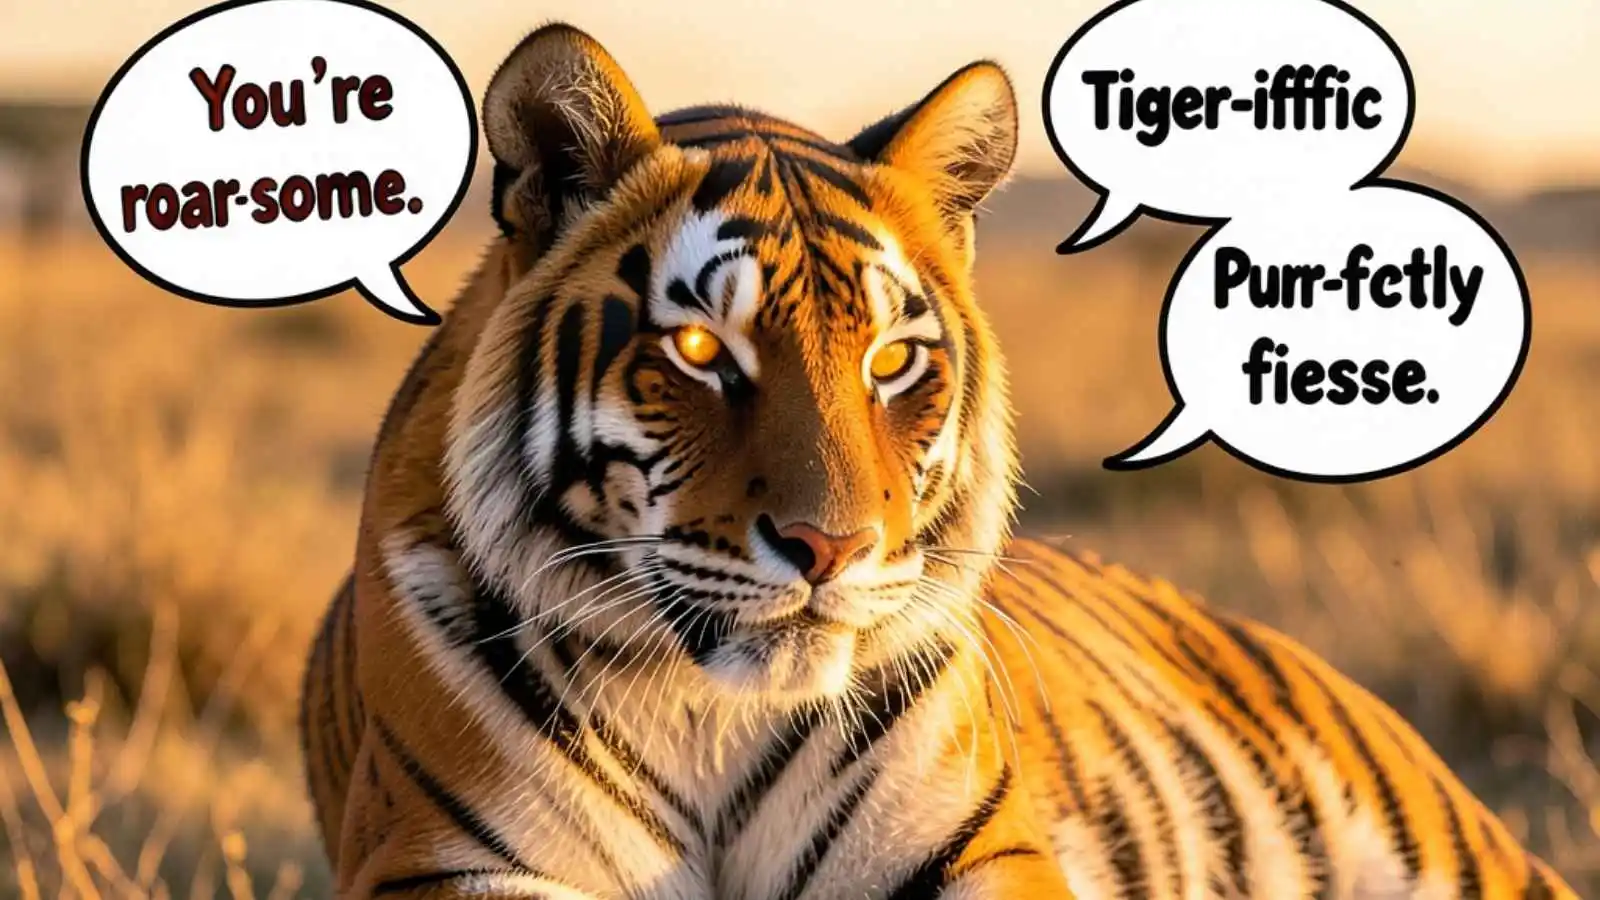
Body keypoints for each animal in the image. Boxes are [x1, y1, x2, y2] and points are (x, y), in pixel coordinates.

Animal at [298, 22, 1577, 900]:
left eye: (891, 359)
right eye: (702, 350)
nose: (830, 548)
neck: (711, 718)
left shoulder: (977, 852)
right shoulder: (449, 861)